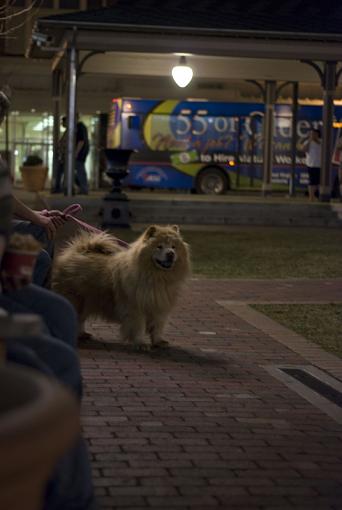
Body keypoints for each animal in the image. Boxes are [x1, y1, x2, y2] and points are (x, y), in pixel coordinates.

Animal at [52, 224, 191, 348]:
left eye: (173, 247)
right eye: (159, 247)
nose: (170, 253)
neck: (156, 277)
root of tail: (77, 252)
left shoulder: (160, 307)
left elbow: (158, 326)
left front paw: (158, 342)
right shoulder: (136, 308)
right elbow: (139, 326)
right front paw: (140, 343)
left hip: (88, 300)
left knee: (80, 318)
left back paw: (82, 334)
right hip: (76, 299)